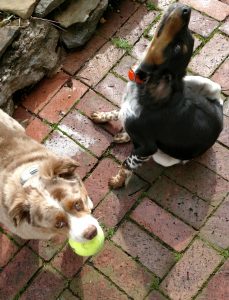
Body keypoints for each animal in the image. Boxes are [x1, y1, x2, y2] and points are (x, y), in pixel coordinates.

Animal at [91, 2, 224, 188]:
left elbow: (127, 163)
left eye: (177, 47)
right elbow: (117, 112)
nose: (187, 9)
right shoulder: (126, 108)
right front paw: (101, 116)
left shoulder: (147, 148)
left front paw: (117, 181)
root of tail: (220, 111)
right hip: (200, 81)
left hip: (163, 157)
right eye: (190, 35)